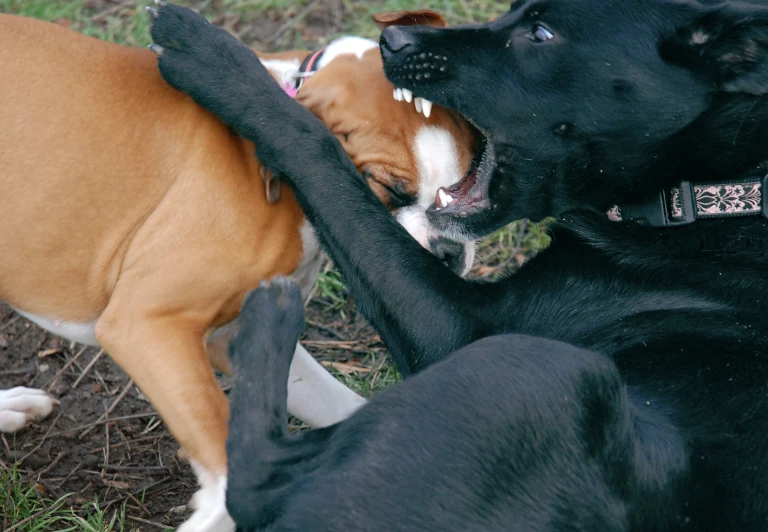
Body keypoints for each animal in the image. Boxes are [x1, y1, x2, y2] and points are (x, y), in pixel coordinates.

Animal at [0, 9, 476, 532]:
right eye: (390, 190)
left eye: (474, 191)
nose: (449, 252)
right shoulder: (148, 326)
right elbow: (228, 473)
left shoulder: (235, 333)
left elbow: (342, 407)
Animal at [147, 2, 764, 528]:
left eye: (541, 34)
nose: (393, 39)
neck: (717, 194)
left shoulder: (462, 327)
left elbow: (319, 152)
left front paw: (213, 57)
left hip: (541, 370)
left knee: (255, 480)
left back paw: (267, 321)